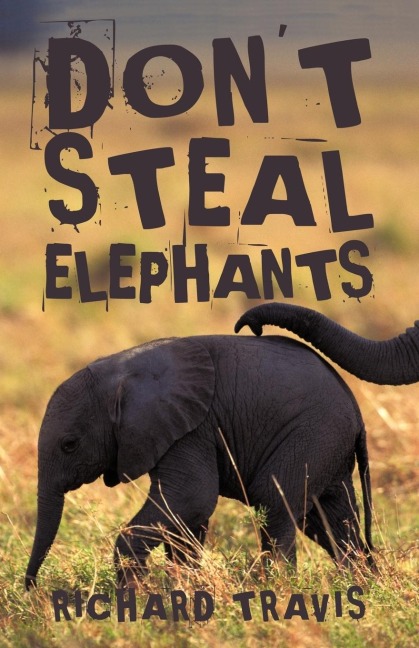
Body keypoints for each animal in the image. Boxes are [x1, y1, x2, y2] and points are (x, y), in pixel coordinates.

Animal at [26, 325, 379, 590]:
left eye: (69, 444)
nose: (32, 588)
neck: (121, 374)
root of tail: (356, 412)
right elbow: (185, 516)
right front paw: (184, 588)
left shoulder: (192, 428)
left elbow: (191, 499)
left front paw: (136, 594)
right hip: (328, 446)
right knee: (330, 518)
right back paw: (363, 583)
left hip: (314, 434)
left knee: (275, 503)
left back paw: (279, 587)